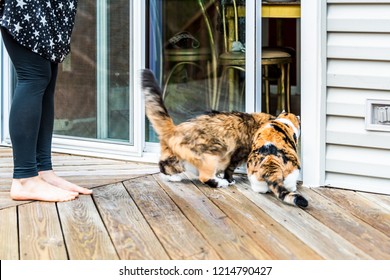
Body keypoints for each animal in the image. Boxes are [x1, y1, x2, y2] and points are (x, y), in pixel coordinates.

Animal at [141, 69, 274, 188]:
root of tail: (175, 129)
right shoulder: (237, 154)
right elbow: (229, 170)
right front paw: (230, 180)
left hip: (178, 158)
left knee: (164, 165)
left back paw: (173, 177)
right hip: (211, 154)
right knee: (204, 177)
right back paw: (221, 183)